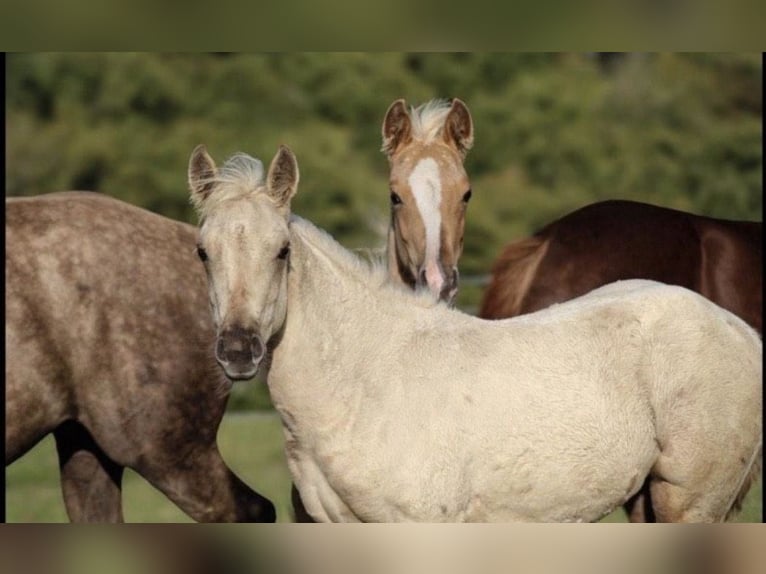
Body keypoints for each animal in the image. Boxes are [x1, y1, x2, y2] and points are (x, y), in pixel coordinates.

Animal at [188, 146, 762, 522]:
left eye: (282, 251)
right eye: (203, 251)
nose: (238, 350)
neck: (364, 382)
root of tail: (740, 331)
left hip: (689, 503)